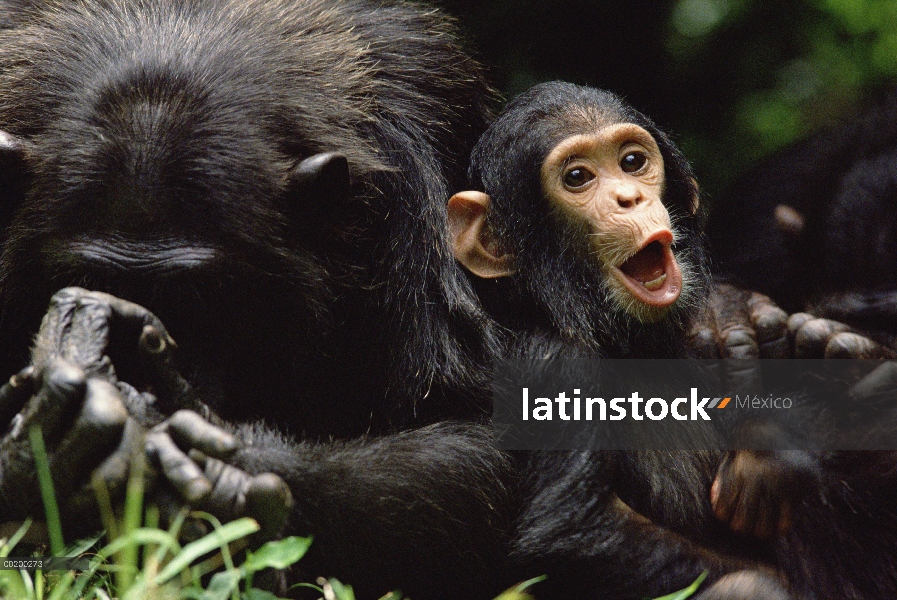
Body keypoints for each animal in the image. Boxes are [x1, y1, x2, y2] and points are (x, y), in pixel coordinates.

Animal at [448, 82, 897, 600]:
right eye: (578, 177)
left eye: (632, 162)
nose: (629, 197)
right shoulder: (553, 363)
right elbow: (577, 525)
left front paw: (776, 445)